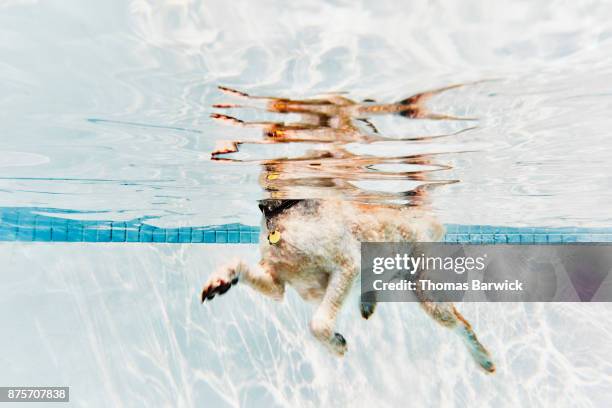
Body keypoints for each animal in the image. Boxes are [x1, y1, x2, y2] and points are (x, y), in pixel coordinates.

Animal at [201, 84, 498, 374]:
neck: (285, 211)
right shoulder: (277, 283)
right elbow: (242, 265)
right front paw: (221, 280)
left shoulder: (346, 267)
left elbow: (318, 324)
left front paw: (336, 344)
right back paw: (368, 301)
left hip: (426, 290)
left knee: (461, 324)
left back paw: (483, 359)